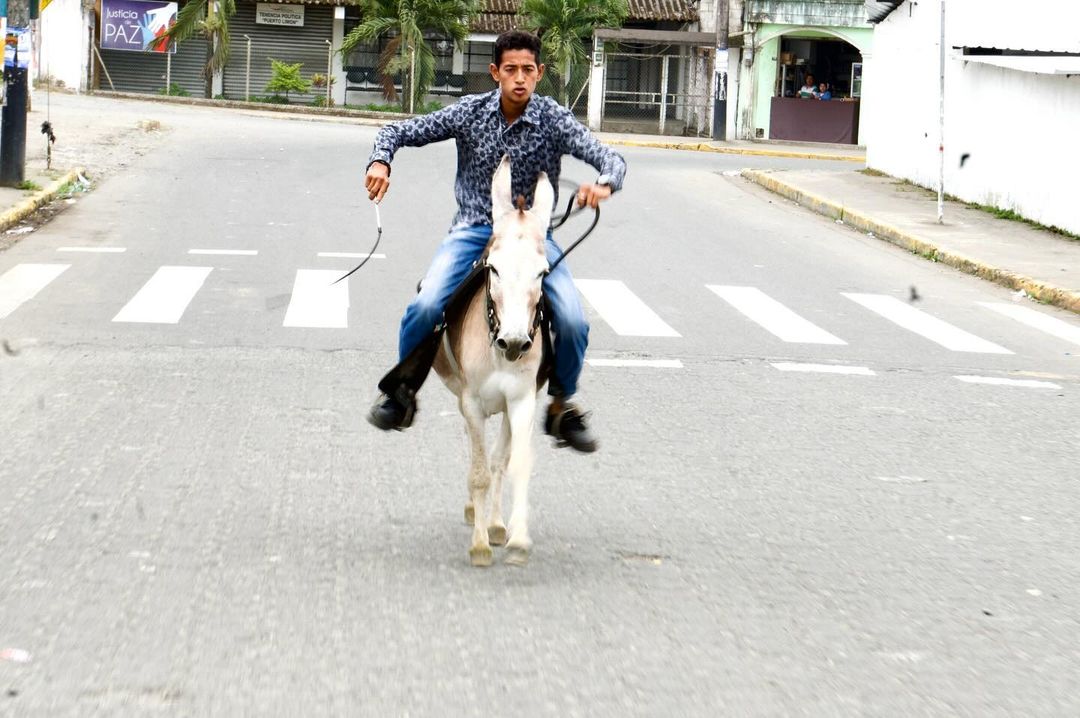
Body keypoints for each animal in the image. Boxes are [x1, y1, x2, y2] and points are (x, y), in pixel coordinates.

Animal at [432, 156, 553, 567]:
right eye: (494, 268)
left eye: (542, 272)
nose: (515, 341)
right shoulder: (471, 402)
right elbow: (480, 471)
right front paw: (480, 546)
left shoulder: (523, 400)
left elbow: (514, 464)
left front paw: (515, 539)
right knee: (478, 457)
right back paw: (478, 514)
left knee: (500, 456)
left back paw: (498, 524)